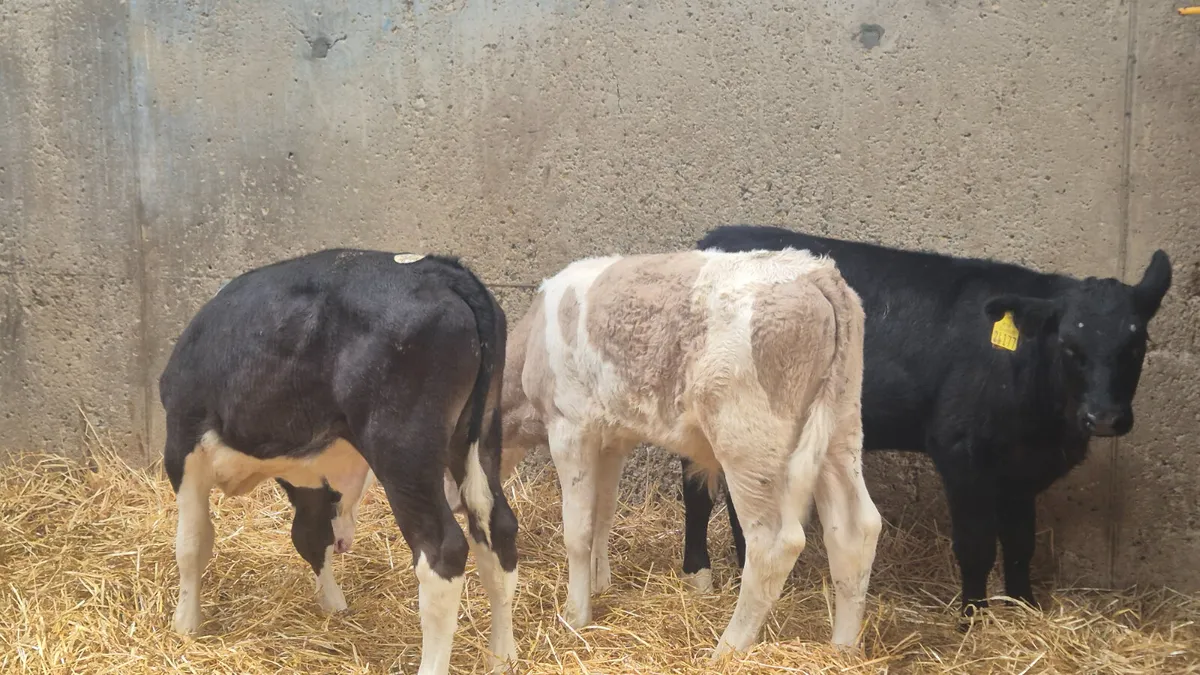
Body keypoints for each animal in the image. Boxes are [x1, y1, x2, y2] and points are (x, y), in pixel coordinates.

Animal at [159, 249, 518, 675]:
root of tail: (438, 268)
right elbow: (312, 537)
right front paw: (333, 604)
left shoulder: (182, 442)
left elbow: (192, 543)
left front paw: (185, 624)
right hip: (479, 434)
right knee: (497, 528)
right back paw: (503, 656)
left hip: (402, 448)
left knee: (442, 551)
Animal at [498, 248, 882, 658]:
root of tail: (815, 272)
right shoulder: (612, 439)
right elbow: (603, 514)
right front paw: (601, 584)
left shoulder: (570, 428)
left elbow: (578, 530)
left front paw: (575, 615)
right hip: (840, 429)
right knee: (855, 530)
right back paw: (843, 649)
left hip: (750, 443)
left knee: (773, 543)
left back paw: (727, 650)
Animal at [680, 225, 1173, 620]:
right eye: (1070, 344)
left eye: (1136, 344)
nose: (1104, 417)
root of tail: (713, 239)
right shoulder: (960, 451)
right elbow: (976, 545)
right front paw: (973, 621)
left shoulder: (1021, 469)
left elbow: (1020, 543)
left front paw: (1025, 610)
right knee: (696, 490)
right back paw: (699, 575)